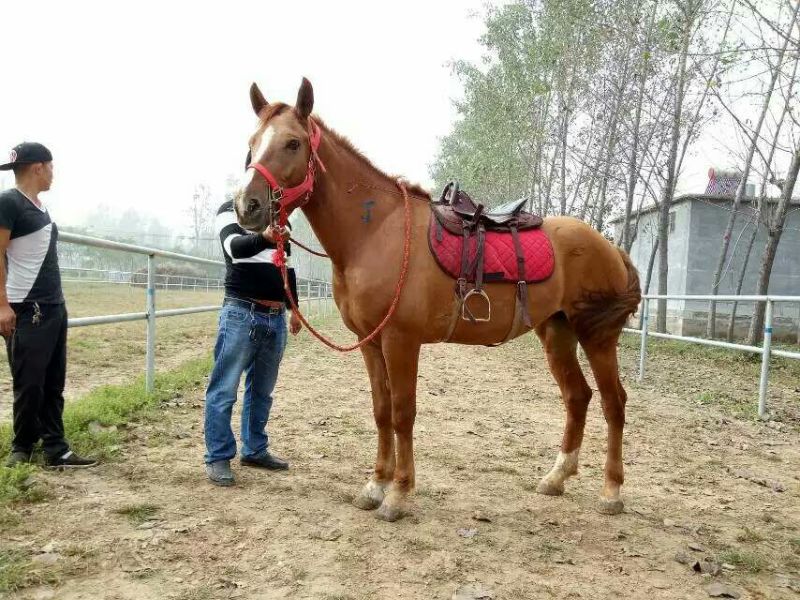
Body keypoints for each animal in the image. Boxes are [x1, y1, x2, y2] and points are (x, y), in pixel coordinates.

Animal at [236, 78, 641, 522]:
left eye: (292, 143)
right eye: (252, 143)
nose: (247, 205)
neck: (376, 232)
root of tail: (608, 246)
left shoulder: (401, 340)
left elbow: (403, 413)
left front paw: (398, 494)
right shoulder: (370, 342)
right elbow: (381, 411)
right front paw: (375, 485)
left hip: (597, 336)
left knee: (614, 403)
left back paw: (612, 492)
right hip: (557, 333)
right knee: (578, 397)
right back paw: (556, 478)